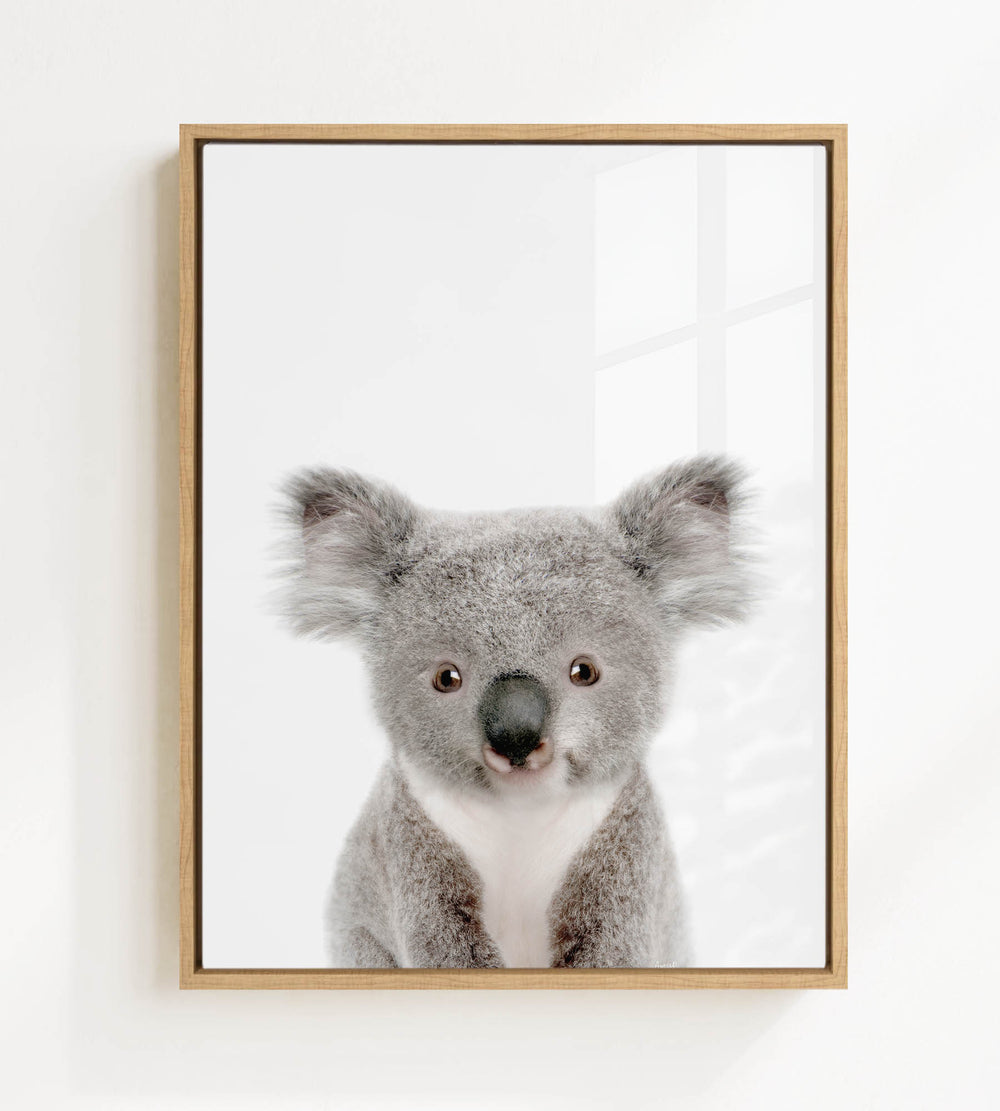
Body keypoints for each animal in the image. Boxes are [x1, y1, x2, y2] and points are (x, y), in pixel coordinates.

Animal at [279, 455, 753, 969]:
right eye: (446, 678)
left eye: (584, 671)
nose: (516, 737)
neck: (520, 814)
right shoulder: (409, 849)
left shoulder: (626, 852)